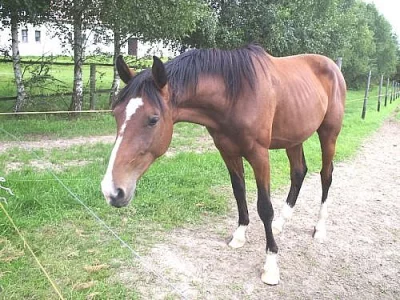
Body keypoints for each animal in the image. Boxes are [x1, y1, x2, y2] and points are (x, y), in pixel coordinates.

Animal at [101, 44, 346, 284]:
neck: (237, 95)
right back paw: (281, 223)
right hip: (293, 138)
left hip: (329, 134)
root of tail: (332, 65)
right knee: (298, 172)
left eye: (153, 119)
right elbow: (239, 192)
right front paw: (239, 235)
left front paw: (271, 265)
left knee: (326, 175)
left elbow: (265, 207)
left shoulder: (259, 155)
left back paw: (319, 229)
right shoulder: (228, 153)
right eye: (116, 114)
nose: (112, 190)